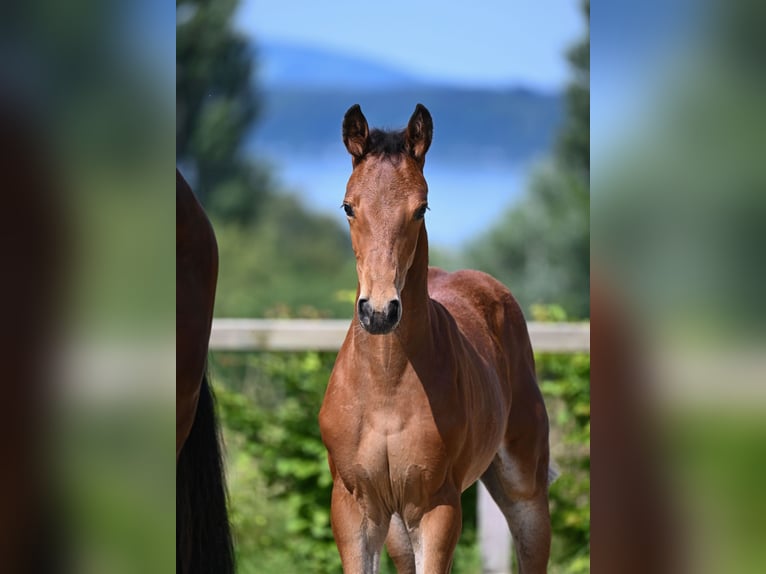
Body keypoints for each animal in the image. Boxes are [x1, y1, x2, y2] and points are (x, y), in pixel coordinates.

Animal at [319, 104, 553, 573]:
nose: (379, 311)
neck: (385, 385)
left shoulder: (436, 506)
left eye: (421, 209)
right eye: (349, 207)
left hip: (525, 489)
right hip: (396, 525)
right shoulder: (354, 506)